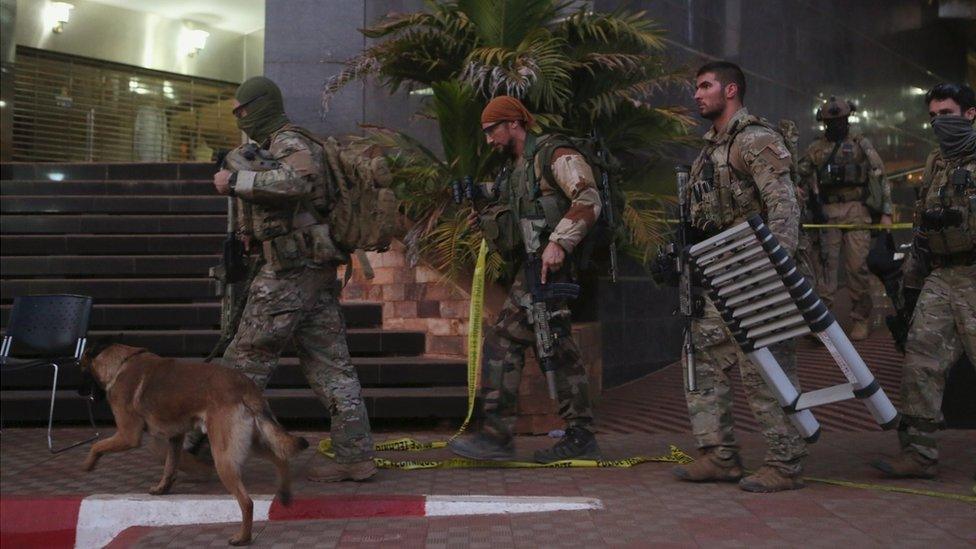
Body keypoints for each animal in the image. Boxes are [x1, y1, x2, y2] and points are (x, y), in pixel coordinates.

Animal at [82, 342, 306, 544]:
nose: (85, 395)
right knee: (280, 457)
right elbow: (170, 466)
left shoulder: (128, 436)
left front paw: (88, 464)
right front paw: (162, 488)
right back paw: (285, 494)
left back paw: (243, 537)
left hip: (224, 456)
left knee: (247, 502)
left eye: (81, 371)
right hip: (252, 442)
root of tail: (246, 387)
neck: (122, 362)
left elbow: (97, 445)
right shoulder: (175, 438)